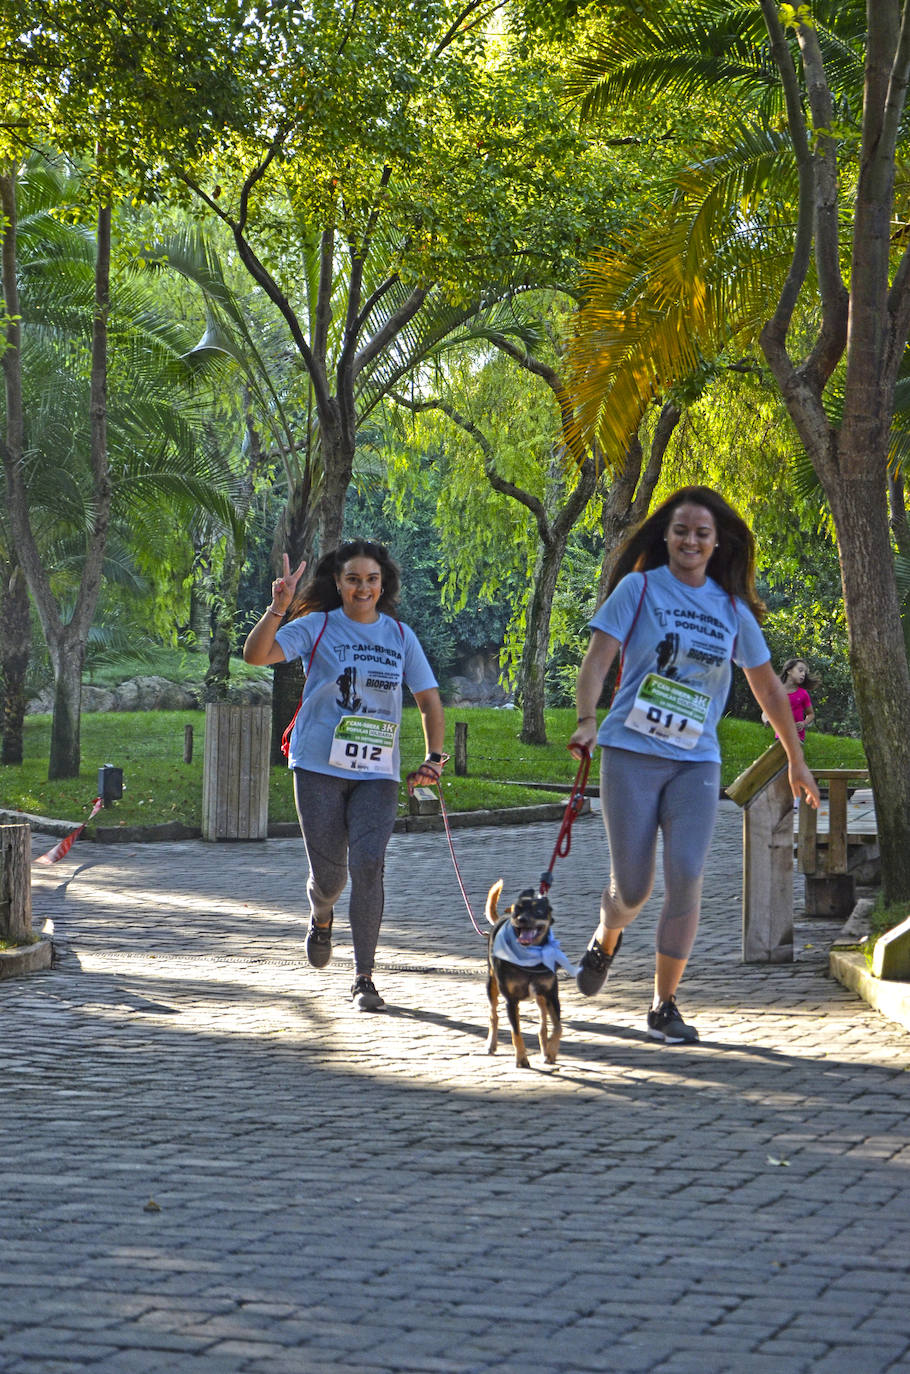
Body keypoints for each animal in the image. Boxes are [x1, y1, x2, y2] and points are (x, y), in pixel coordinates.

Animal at [489, 879, 560, 1071]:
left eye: (538, 911)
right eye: (518, 910)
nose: (521, 919)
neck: (529, 956)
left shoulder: (551, 994)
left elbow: (558, 1027)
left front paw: (551, 1051)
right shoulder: (511, 1001)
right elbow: (516, 1032)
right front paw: (521, 1058)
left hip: (541, 998)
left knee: (543, 1026)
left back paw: (545, 1048)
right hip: (492, 986)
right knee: (493, 1015)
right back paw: (491, 1044)